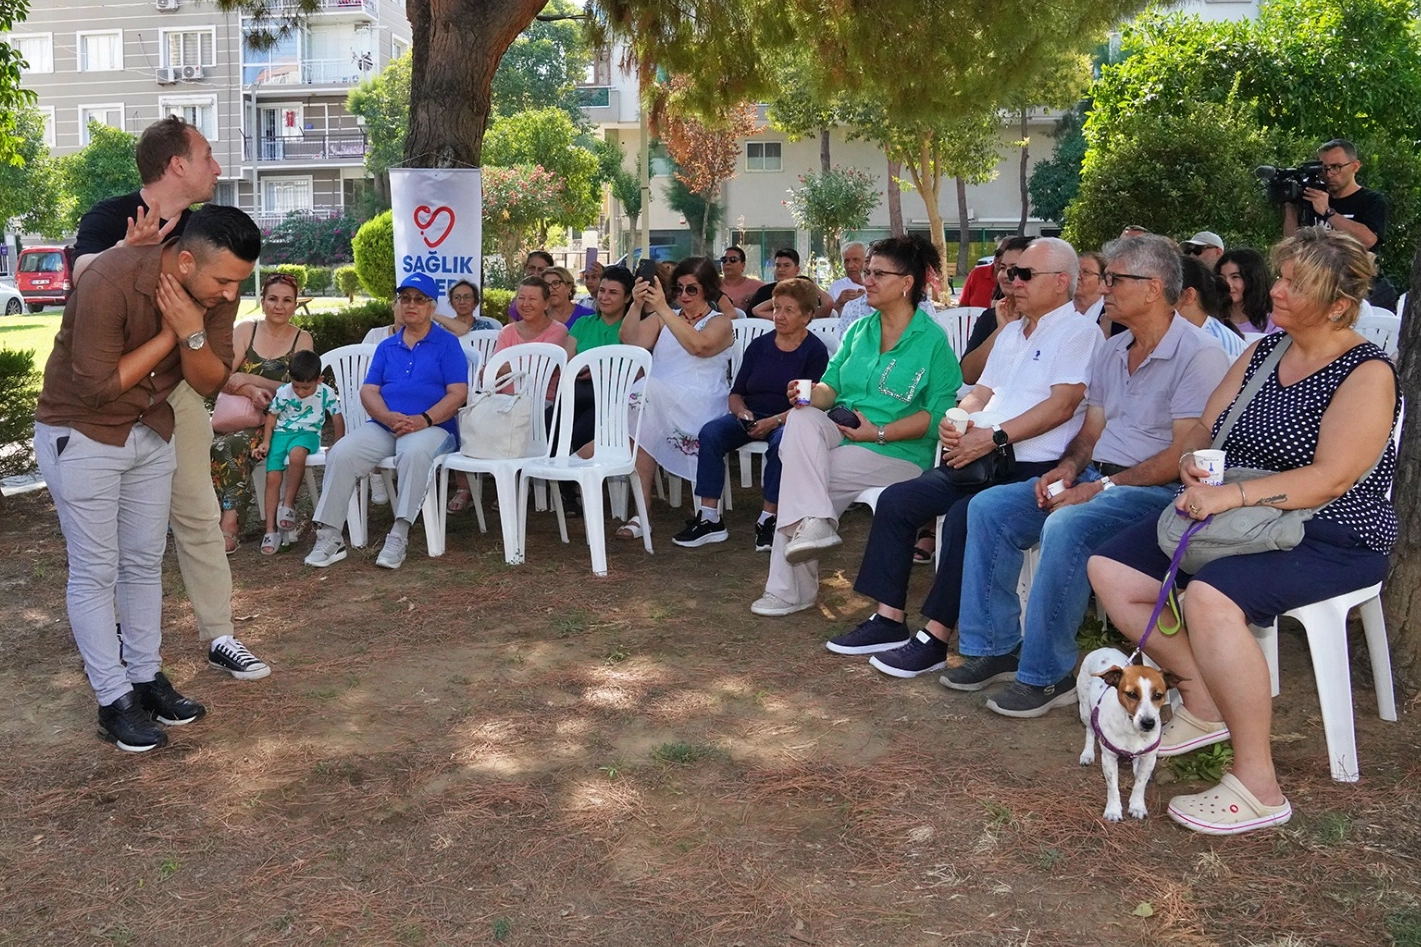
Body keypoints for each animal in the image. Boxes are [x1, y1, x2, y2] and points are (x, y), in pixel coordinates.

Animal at [1079, 645, 1182, 813]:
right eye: (1131, 694)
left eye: (1158, 695)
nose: (1148, 723)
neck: (1132, 729)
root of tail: (1105, 648)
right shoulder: (1109, 758)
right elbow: (1113, 787)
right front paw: (1113, 810)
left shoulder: (1149, 757)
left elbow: (1140, 784)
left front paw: (1137, 806)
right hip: (1085, 710)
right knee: (1089, 730)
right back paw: (1087, 753)